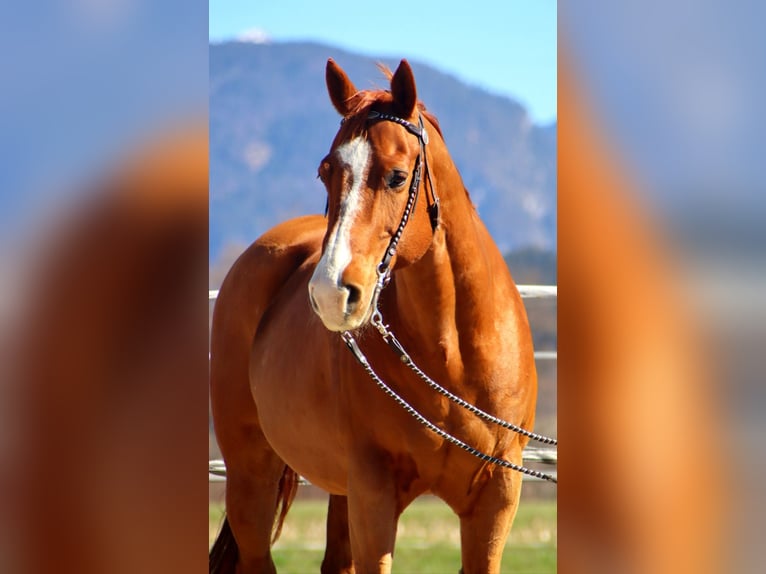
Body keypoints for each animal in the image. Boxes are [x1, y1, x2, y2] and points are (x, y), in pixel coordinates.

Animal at [209, 59, 539, 574]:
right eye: (326, 172)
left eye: (397, 177)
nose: (330, 294)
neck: (456, 360)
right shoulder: (373, 492)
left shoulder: (496, 498)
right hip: (250, 475)